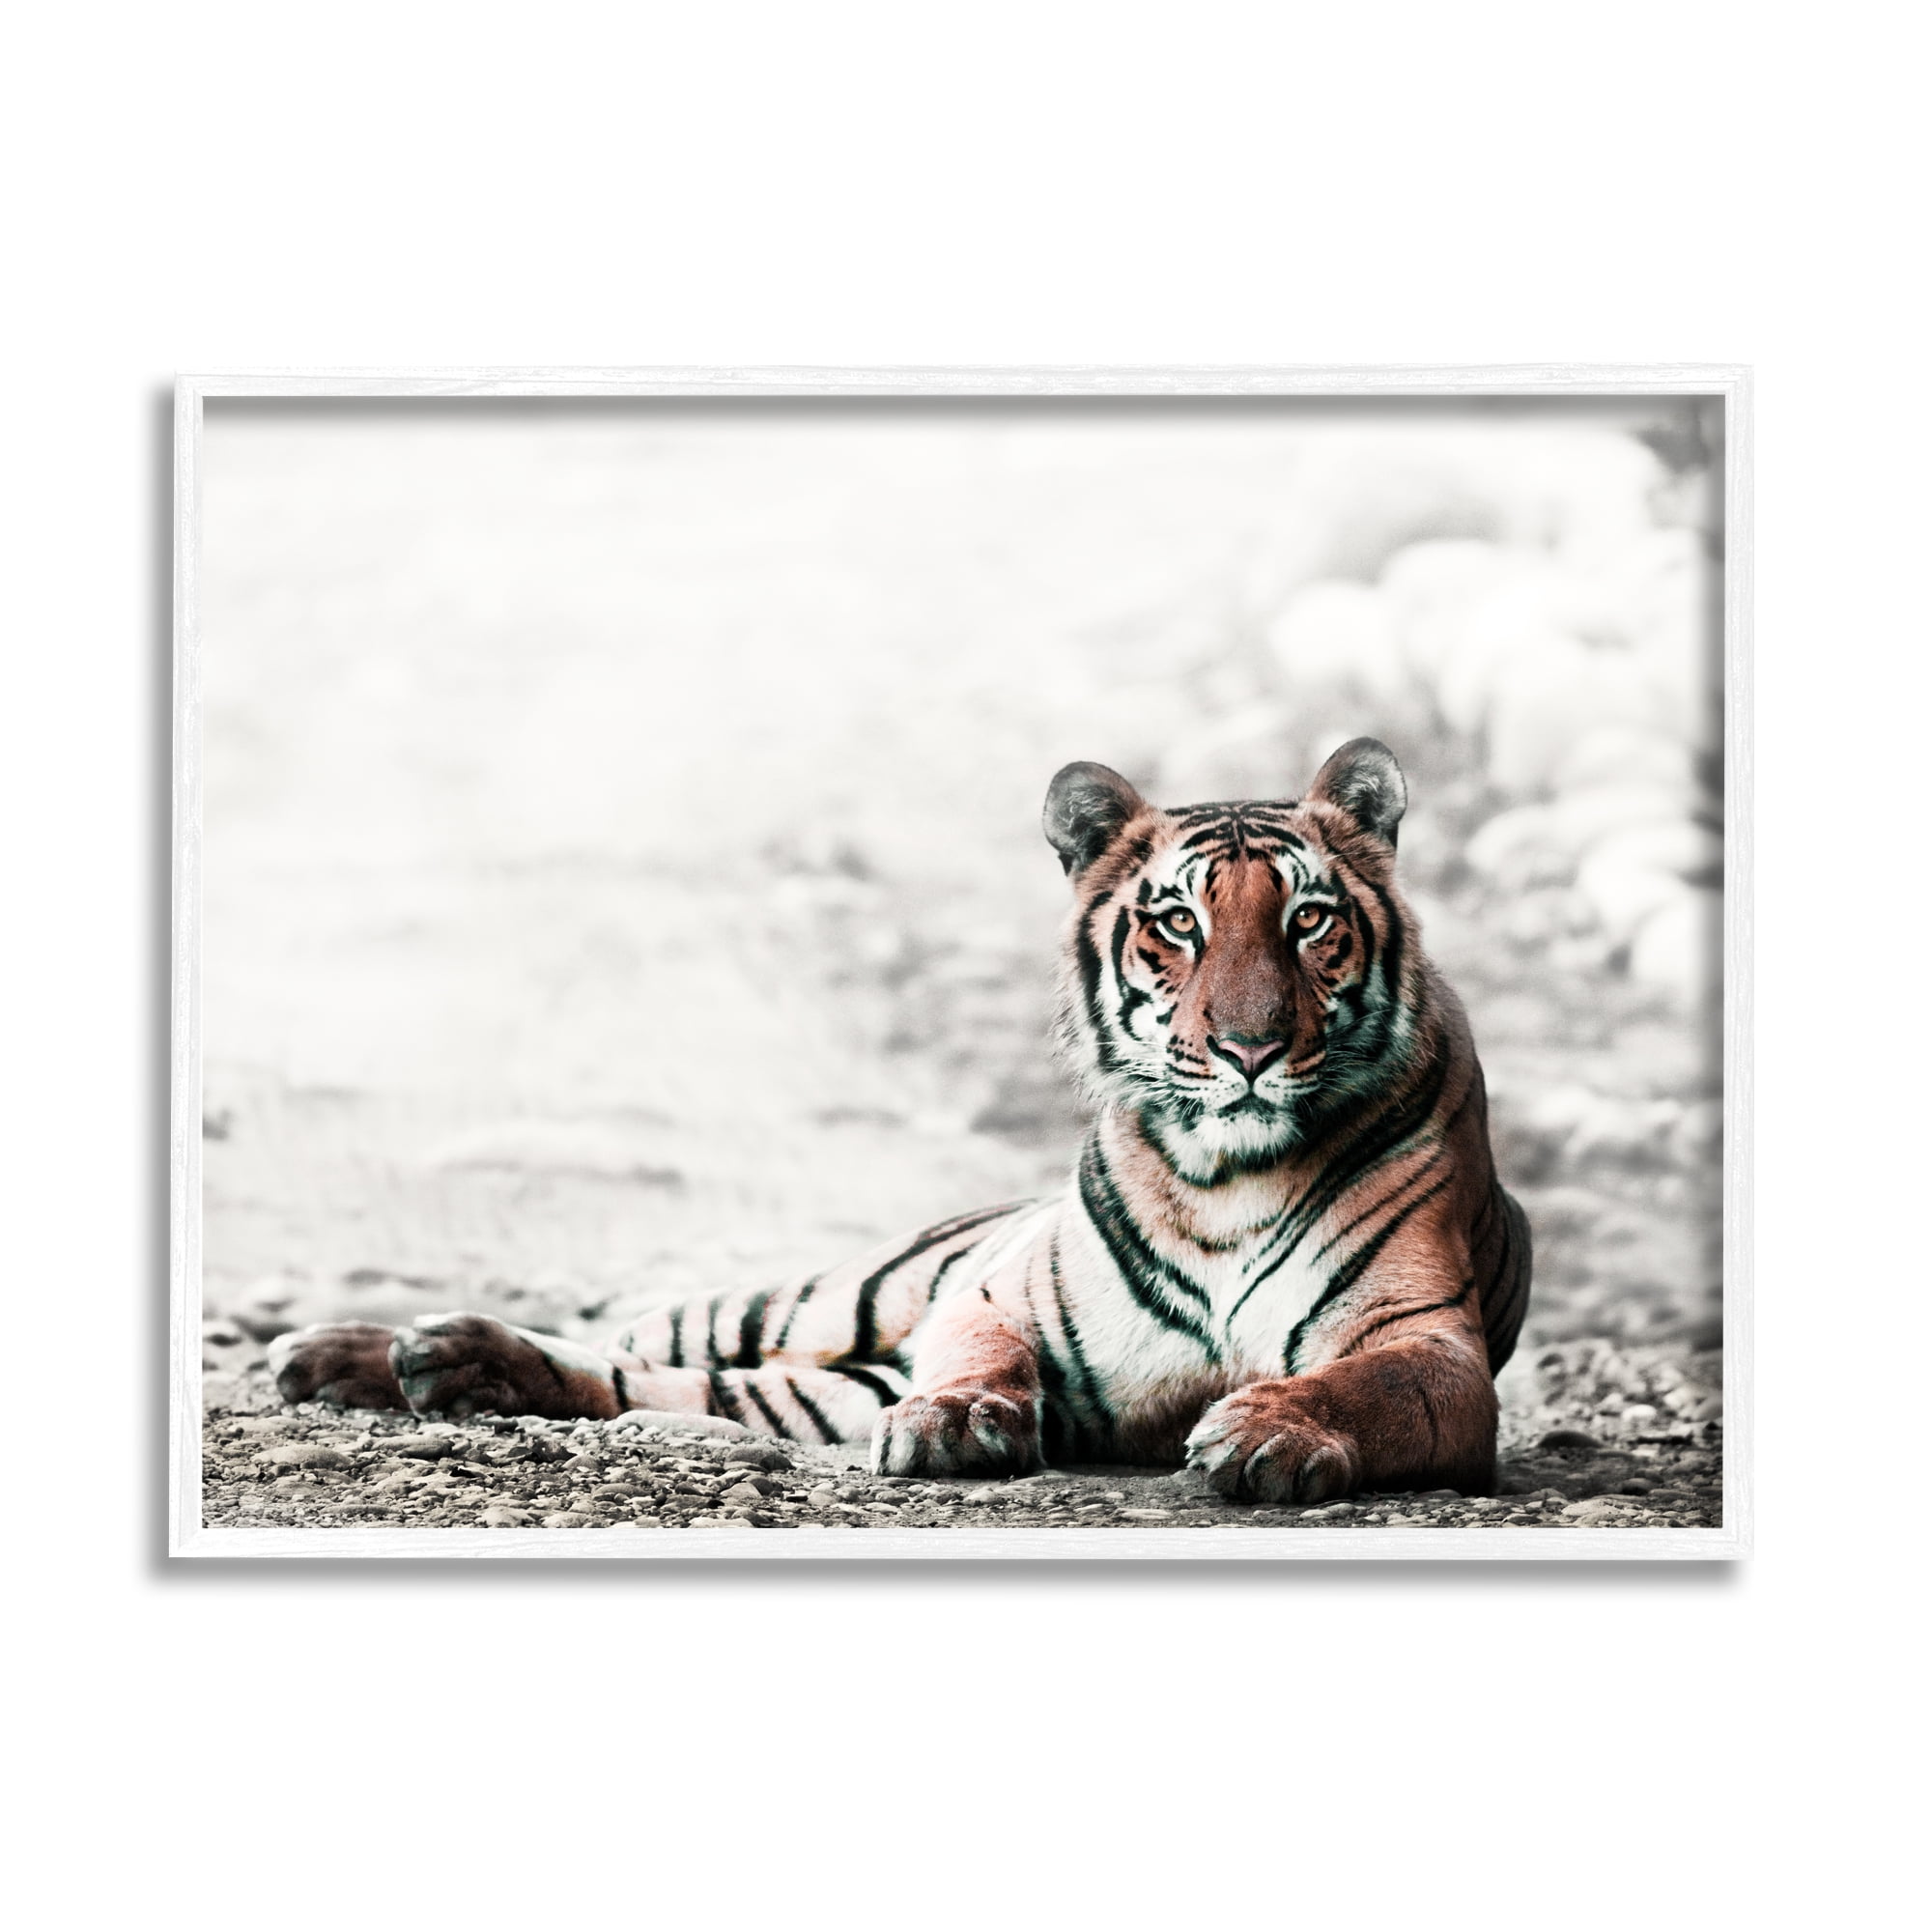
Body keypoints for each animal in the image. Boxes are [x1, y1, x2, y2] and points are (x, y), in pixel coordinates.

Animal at [268, 738, 1530, 1503]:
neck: (1226, 1170)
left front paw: (1264, 1429)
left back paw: (434, 1362)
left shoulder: (1429, 1341)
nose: (1249, 1048)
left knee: (657, 1385)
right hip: (827, 1298)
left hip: (824, 1376)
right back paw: (363, 1350)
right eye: (1176, 921)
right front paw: (960, 1420)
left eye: (1308, 920)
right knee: (647, 1334)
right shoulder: (988, 1294)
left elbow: (1360, 1385)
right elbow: (977, 1350)